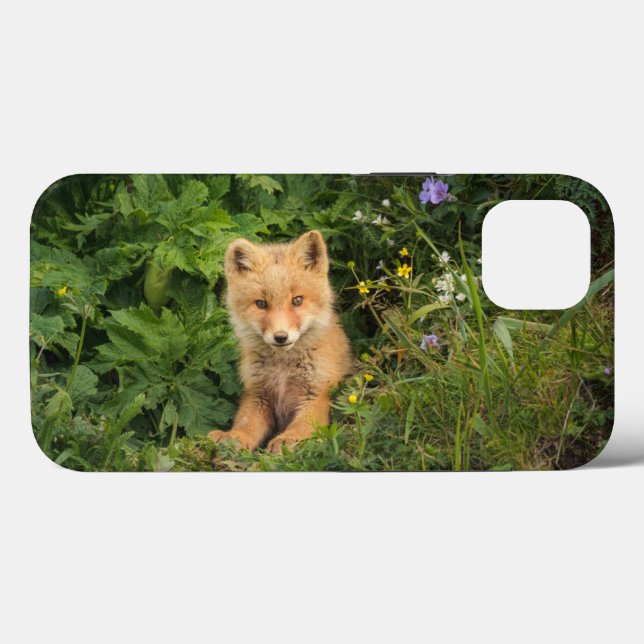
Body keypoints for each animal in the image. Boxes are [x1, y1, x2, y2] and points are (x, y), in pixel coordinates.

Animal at [208, 230, 354, 452]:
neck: (283, 369)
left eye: (297, 300)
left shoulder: (317, 394)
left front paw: (288, 438)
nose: (281, 337)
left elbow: (302, 425)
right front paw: (233, 437)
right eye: (261, 304)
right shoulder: (258, 395)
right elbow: (246, 424)